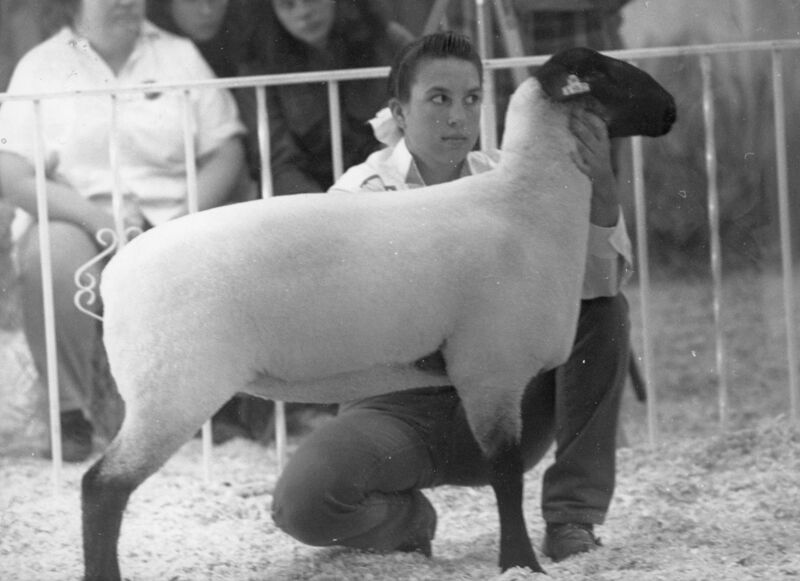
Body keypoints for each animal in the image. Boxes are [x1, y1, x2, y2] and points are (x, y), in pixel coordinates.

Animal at [81, 47, 676, 581]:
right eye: (608, 73)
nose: (670, 110)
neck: (527, 203)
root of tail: (115, 274)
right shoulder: (490, 369)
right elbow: (506, 476)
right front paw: (520, 563)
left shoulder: (490, 374)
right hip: (172, 388)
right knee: (102, 487)